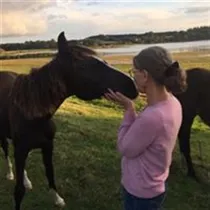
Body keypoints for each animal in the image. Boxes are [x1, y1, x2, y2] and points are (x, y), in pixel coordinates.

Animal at [0, 31, 138, 210]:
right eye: (84, 66)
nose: (133, 85)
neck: (34, 114)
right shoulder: (23, 149)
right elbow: (18, 191)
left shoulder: (47, 146)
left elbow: (50, 173)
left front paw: (58, 199)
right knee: (5, 150)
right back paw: (10, 173)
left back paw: (26, 179)